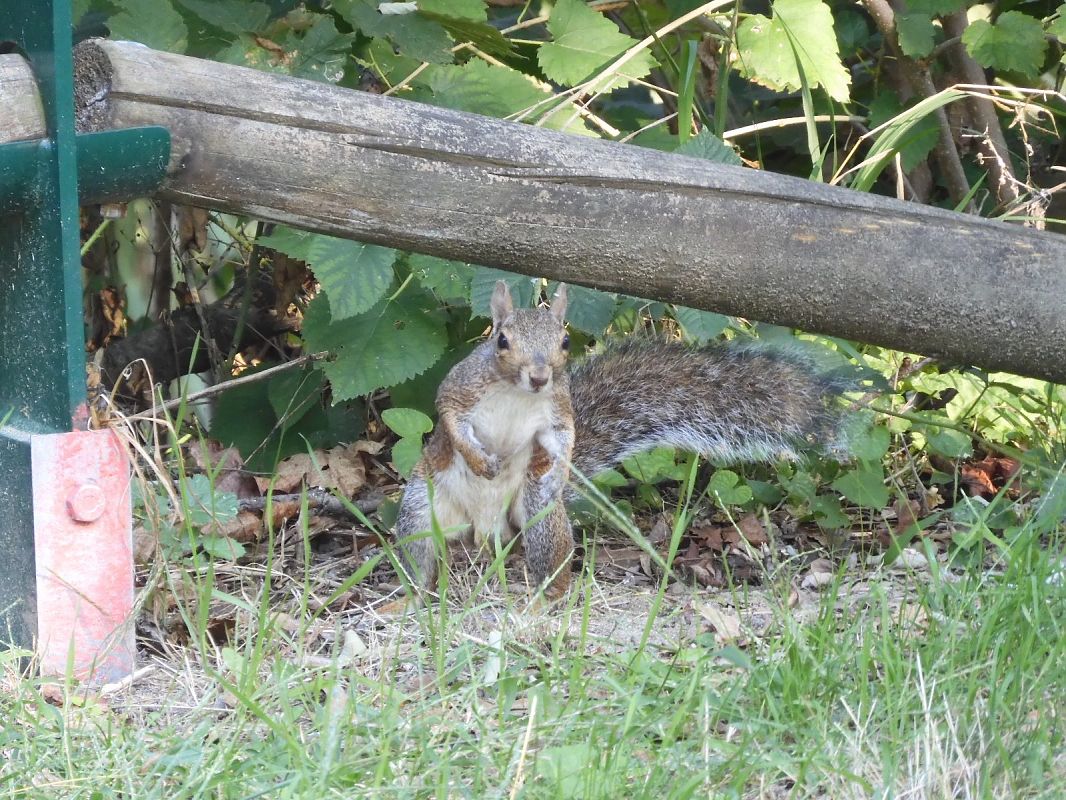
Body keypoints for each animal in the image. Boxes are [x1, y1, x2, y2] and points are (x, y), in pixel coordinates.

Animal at [394, 281, 854, 600]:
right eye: (501, 340)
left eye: (564, 340)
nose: (540, 376)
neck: (517, 393)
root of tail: (488, 530)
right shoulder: (461, 389)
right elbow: (450, 417)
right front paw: (479, 460)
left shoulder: (558, 409)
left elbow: (566, 437)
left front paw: (559, 469)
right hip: (421, 509)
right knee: (419, 562)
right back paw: (409, 600)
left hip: (540, 515)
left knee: (551, 561)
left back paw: (545, 599)